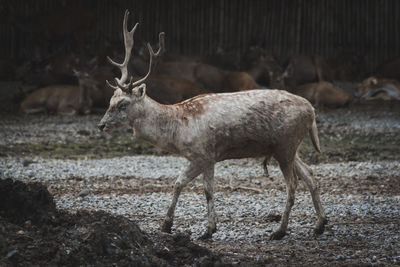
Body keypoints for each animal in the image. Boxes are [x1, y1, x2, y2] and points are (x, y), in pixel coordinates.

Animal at [98, 9, 326, 241]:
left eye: (123, 103)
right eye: (110, 101)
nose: (101, 125)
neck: (177, 131)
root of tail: (311, 110)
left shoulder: (201, 153)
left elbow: (178, 183)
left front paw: (166, 225)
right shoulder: (211, 157)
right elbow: (208, 190)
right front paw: (208, 230)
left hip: (286, 144)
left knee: (293, 185)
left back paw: (279, 231)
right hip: (288, 146)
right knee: (310, 175)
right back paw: (320, 225)